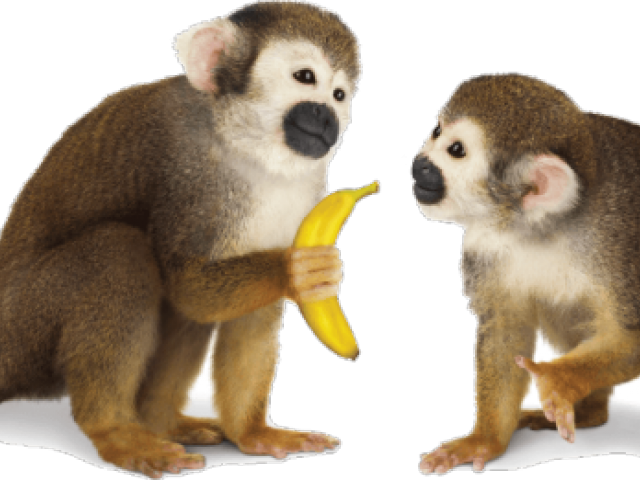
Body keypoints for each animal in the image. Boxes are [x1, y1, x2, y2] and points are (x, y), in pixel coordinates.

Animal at [0, 1, 361, 477]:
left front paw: (252, 433)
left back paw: (159, 420)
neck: (243, 145)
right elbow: (189, 286)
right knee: (120, 252)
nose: (327, 116)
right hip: (25, 323)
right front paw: (297, 270)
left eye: (339, 95)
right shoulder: (188, 171)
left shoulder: (306, 188)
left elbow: (248, 311)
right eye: (305, 77)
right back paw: (114, 430)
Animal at [413, 73, 640, 474]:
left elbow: (630, 338)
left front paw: (559, 379)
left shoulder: (619, 241)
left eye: (456, 150)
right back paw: (591, 413)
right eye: (437, 131)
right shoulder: (484, 245)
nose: (420, 163)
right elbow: (505, 329)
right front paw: (485, 440)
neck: (545, 226)